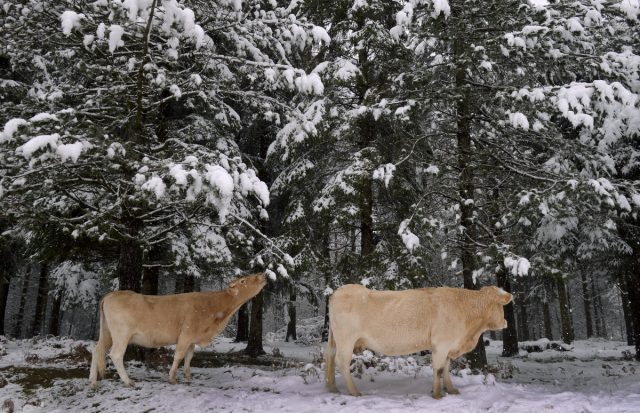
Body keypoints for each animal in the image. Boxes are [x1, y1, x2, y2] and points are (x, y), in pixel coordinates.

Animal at [89, 272, 264, 388]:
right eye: (243, 280)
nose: (262, 274)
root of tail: (111, 294)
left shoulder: (192, 339)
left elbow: (189, 357)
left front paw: (188, 377)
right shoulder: (186, 334)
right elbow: (178, 356)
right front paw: (172, 378)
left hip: (107, 333)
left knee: (97, 350)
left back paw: (93, 382)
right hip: (121, 334)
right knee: (116, 354)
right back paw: (128, 381)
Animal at [324, 284, 510, 398]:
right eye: (501, 305)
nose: (506, 322)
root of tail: (338, 292)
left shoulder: (449, 346)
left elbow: (446, 368)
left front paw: (451, 390)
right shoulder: (441, 344)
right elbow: (439, 369)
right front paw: (437, 394)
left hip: (336, 340)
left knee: (331, 359)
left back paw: (333, 388)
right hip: (346, 340)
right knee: (342, 362)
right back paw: (354, 392)